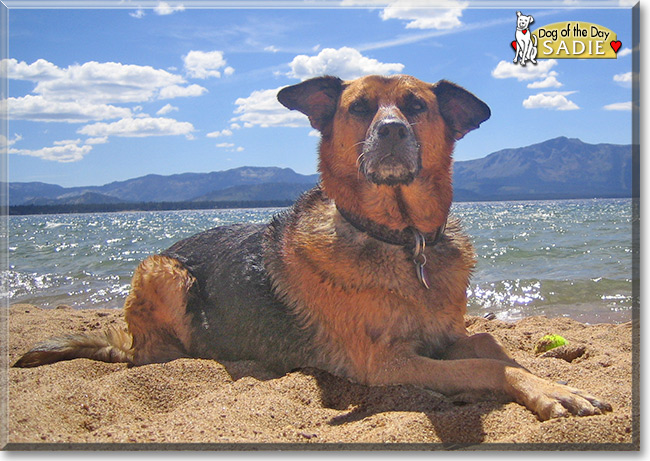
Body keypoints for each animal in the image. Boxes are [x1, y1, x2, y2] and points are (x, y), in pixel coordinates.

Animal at [16, 74, 612, 420]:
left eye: (416, 106)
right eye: (360, 107)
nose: (391, 131)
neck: (403, 241)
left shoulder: (442, 337)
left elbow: (491, 347)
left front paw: (552, 380)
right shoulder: (386, 363)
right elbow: (486, 369)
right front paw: (549, 391)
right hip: (160, 269)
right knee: (153, 354)